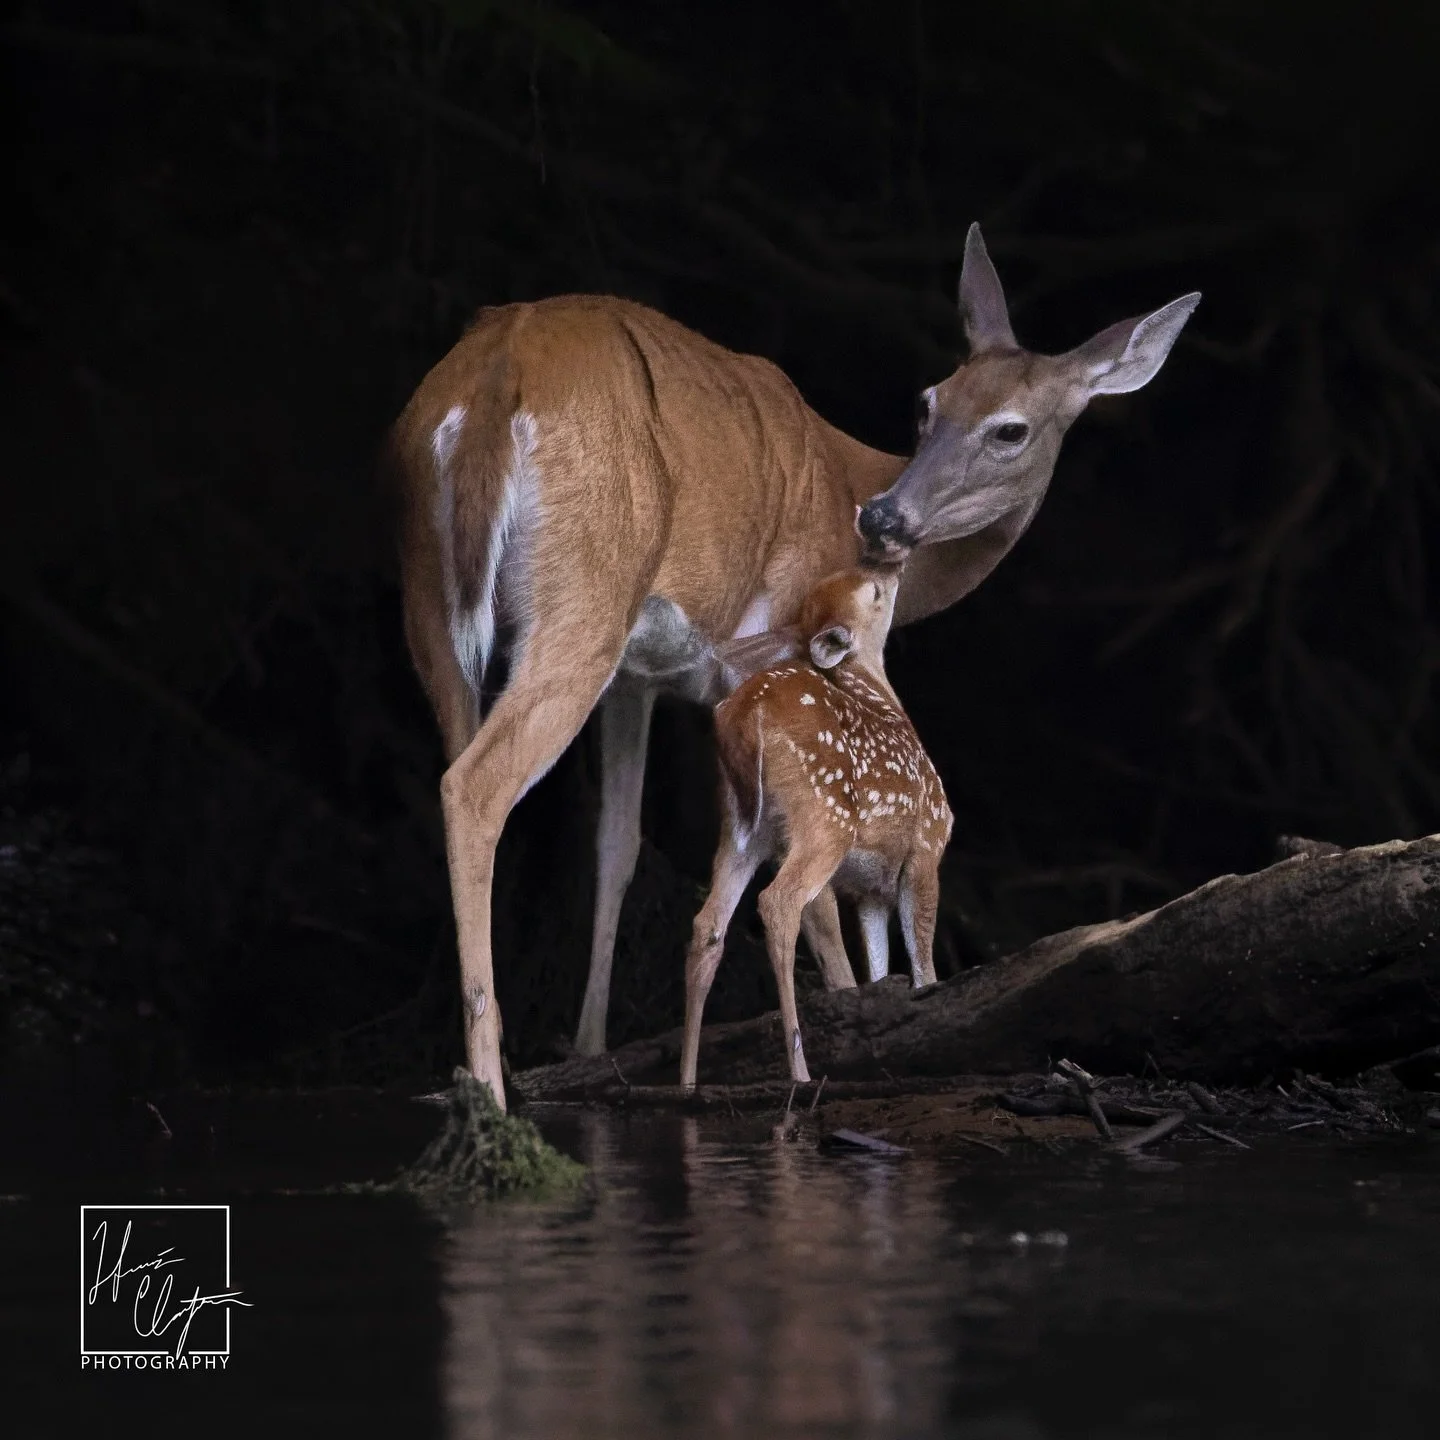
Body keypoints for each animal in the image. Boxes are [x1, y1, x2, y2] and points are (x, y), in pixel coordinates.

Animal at [681, 564, 952, 1090]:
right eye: (874, 591)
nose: (893, 567)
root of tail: (743, 715)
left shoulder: (870, 890)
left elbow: (878, 965)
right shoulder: (927, 845)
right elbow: (922, 960)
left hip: (743, 828)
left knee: (708, 925)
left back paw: (685, 1080)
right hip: (824, 817)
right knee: (779, 903)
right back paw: (800, 1071)